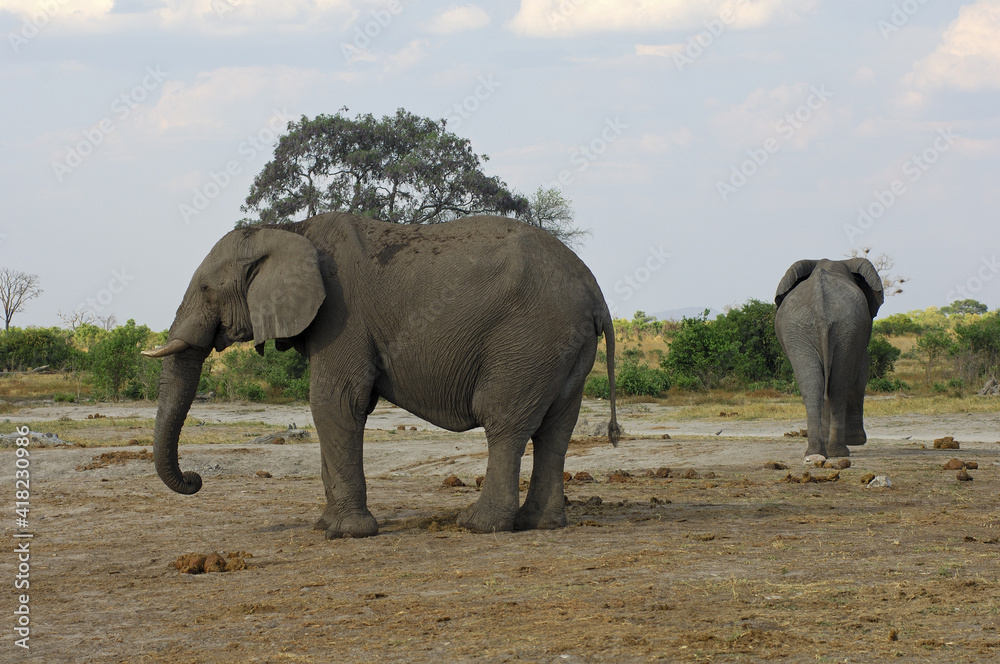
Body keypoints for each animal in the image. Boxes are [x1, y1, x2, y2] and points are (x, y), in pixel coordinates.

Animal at [143, 212, 621, 538]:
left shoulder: (341, 316)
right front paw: (325, 526)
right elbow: (336, 408)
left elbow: (334, 402)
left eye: (207, 289)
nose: (195, 479)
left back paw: (477, 524)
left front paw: (345, 533)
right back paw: (540, 523)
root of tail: (595, 290)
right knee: (556, 429)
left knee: (505, 423)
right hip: (566, 346)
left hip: (529, 339)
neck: (291, 230)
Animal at [773, 258, 884, 463]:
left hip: (814, 332)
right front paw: (857, 441)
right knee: (837, 386)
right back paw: (836, 451)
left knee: (818, 386)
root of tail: (822, 313)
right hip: (829, 331)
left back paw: (821, 452)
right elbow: (860, 373)